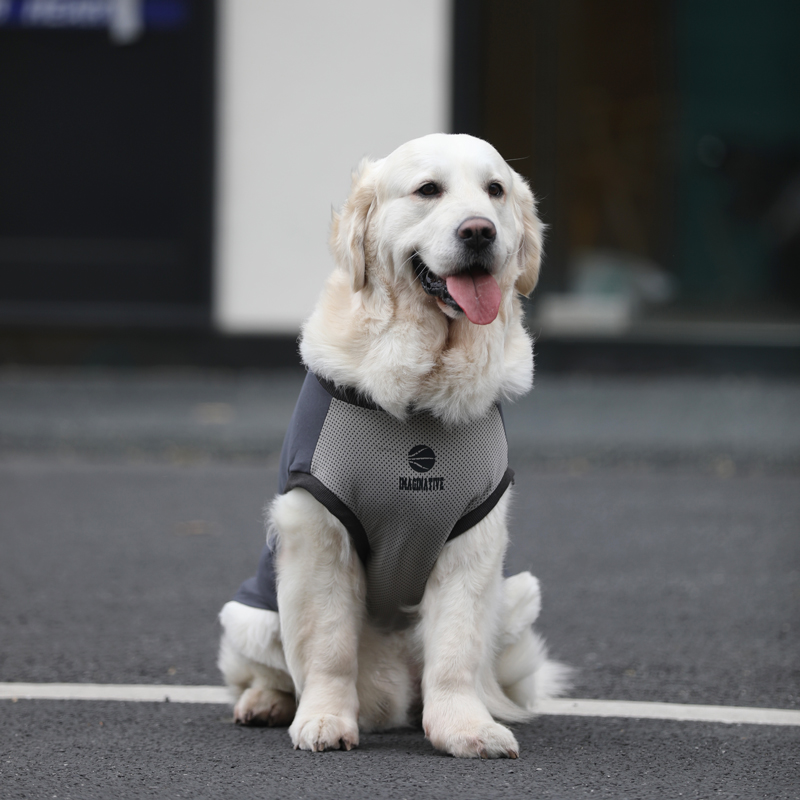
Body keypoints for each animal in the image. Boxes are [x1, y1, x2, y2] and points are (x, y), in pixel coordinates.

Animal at [219, 131, 568, 756]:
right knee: (268, 670)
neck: (422, 386)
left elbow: (454, 651)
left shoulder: (473, 541)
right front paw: (324, 719)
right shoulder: (319, 531)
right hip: (249, 615)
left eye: (495, 190)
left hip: (517, 596)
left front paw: (465, 727)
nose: (479, 231)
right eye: (428, 190)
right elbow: (328, 647)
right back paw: (266, 702)